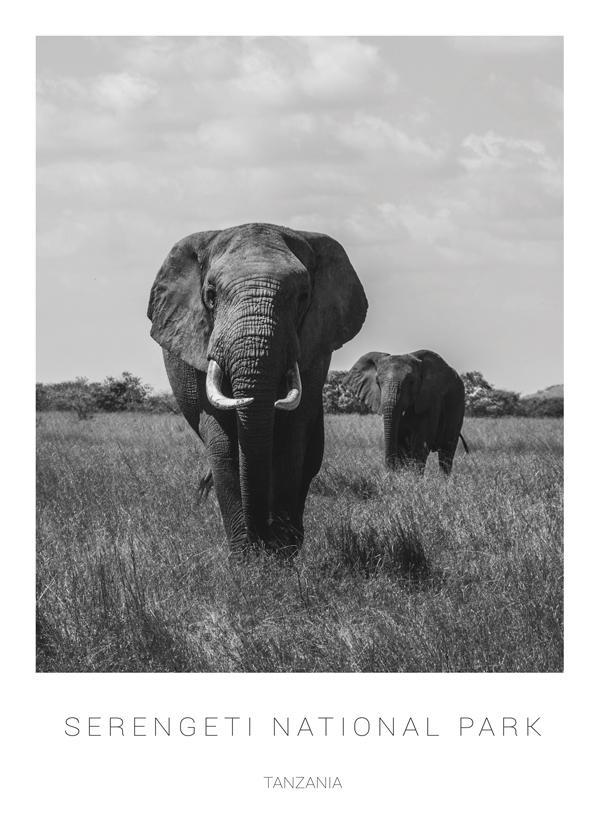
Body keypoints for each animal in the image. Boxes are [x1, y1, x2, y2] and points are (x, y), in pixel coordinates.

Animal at [148, 220, 368, 556]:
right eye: (211, 295)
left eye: (303, 296)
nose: (262, 540)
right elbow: (223, 443)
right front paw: (247, 559)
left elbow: (292, 438)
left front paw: (281, 554)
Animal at [344, 350, 466, 480]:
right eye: (377, 382)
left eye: (411, 381)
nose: (389, 473)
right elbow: (401, 443)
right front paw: (403, 477)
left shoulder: (430, 399)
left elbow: (420, 443)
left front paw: (415, 480)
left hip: (458, 405)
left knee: (447, 451)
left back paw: (444, 481)